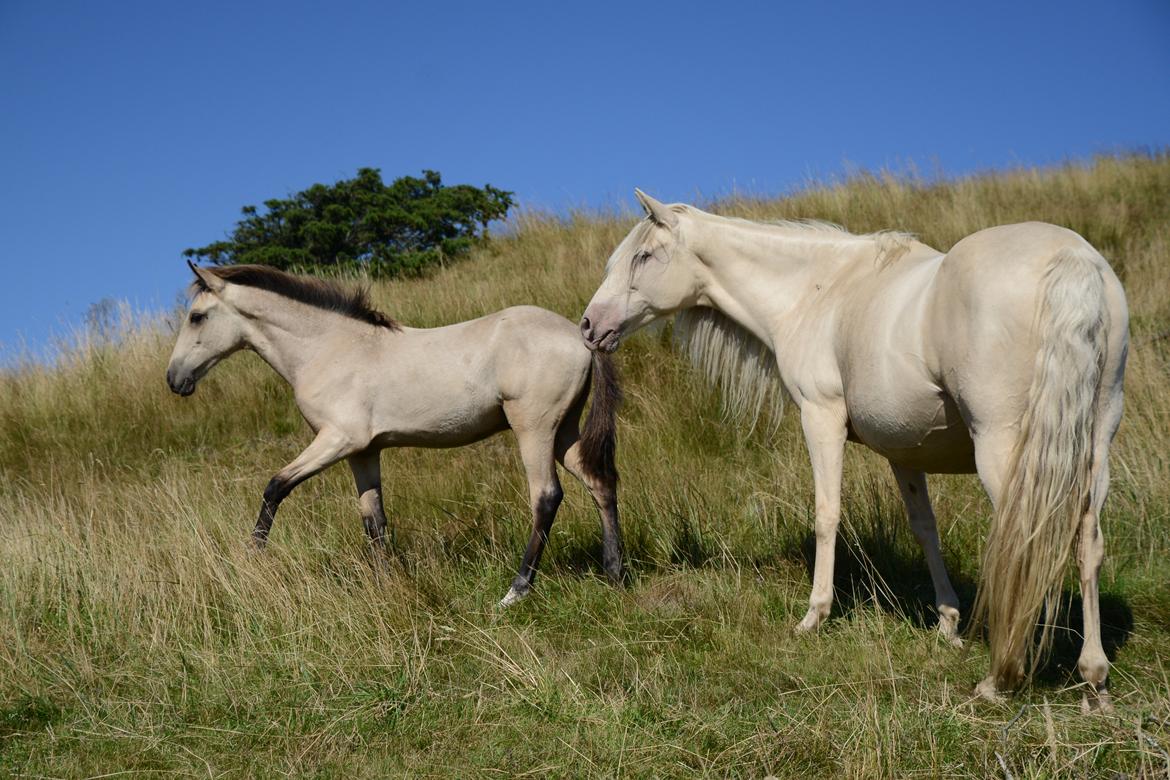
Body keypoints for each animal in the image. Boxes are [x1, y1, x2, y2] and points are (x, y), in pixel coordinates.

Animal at [169, 261, 627, 603]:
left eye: (196, 317)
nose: (175, 380)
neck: (329, 348)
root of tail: (580, 336)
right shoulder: (363, 452)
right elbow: (374, 521)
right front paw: (388, 586)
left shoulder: (337, 440)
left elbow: (276, 486)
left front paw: (251, 557)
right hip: (563, 432)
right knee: (599, 483)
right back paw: (615, 572)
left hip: (533, 428)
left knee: (546, 497)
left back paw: (516, 591)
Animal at [580, 189, 1127, 706]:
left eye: (644, 256)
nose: (588, 326)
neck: (818, 292)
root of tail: (1072, 259)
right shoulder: (906, 451)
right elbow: (925, 528)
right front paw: (948, 623)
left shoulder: (820, 418)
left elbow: (827, 515)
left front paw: (814, 617)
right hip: (1093, 451)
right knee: (1088, 543)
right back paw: (1093, 678)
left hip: (1002, 449)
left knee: (1026, 540)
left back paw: (999, 677)